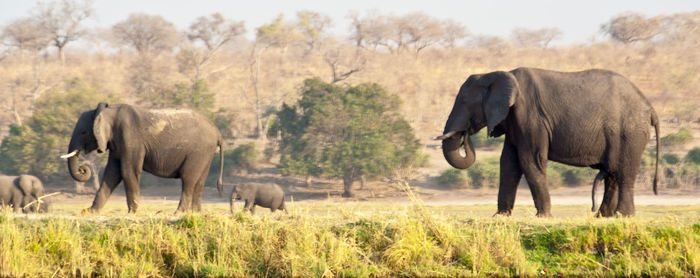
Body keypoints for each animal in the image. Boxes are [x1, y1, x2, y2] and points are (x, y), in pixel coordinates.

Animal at [62, 102, 223, 213]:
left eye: (83, 132)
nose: (82, 169)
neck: (108, 112)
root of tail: (217, 132)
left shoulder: (131, 140)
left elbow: (128, 171)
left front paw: (132, 212)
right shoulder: (117, 144)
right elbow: (112, 174)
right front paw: (89, 212)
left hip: (198, 151)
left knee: (188, 179)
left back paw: (178, 213)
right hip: (205, 153)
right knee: (200, 181)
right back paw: (196, 212)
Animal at [434, 67, 660, 217]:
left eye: (464, 101)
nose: (464, 134)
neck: (498, 74)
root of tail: (649, 107)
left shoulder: (531, 117)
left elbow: (530, 161)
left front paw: (543, 217)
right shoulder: (514, 122)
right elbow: (508, 163)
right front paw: (500, 217)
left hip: (630, 133)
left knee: (624, 172)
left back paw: (623, 216)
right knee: (613, 174)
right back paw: (603, 217)